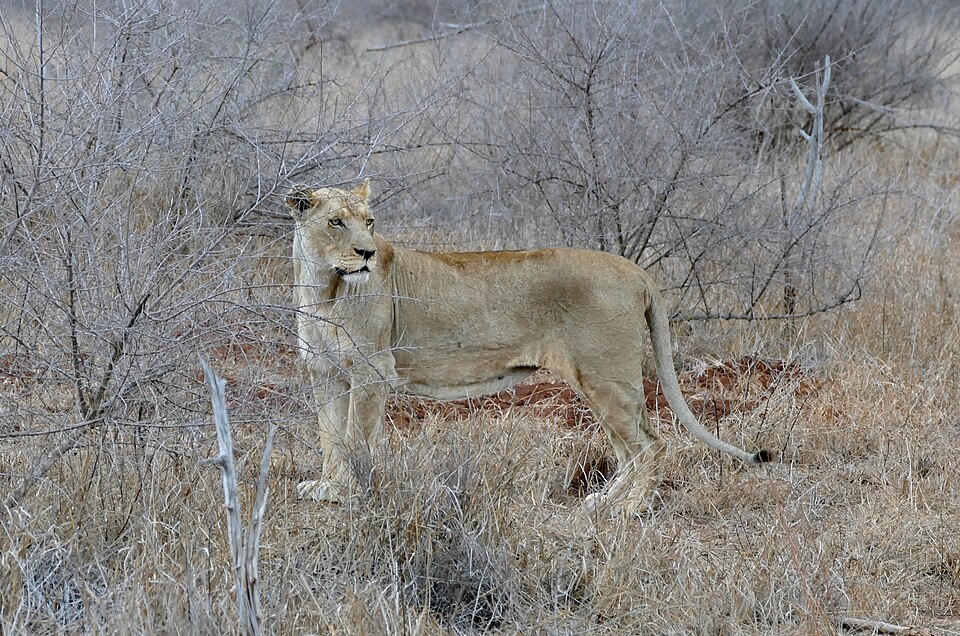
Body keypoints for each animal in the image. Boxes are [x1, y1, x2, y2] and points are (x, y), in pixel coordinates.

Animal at [287, 181, 771, 516]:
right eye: (336, 222)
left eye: (369, 221)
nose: (367, 253)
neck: (324, 287)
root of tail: (633, 269)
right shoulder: (325, 373)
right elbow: (330, 436)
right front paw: (328, 488)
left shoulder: (372, 372)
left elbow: (355, 439)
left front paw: (351, 494)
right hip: (597, 383)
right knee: (627, 450)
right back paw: (603, 502)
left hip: (606, 378)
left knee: (650, 445)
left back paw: (631, 510)